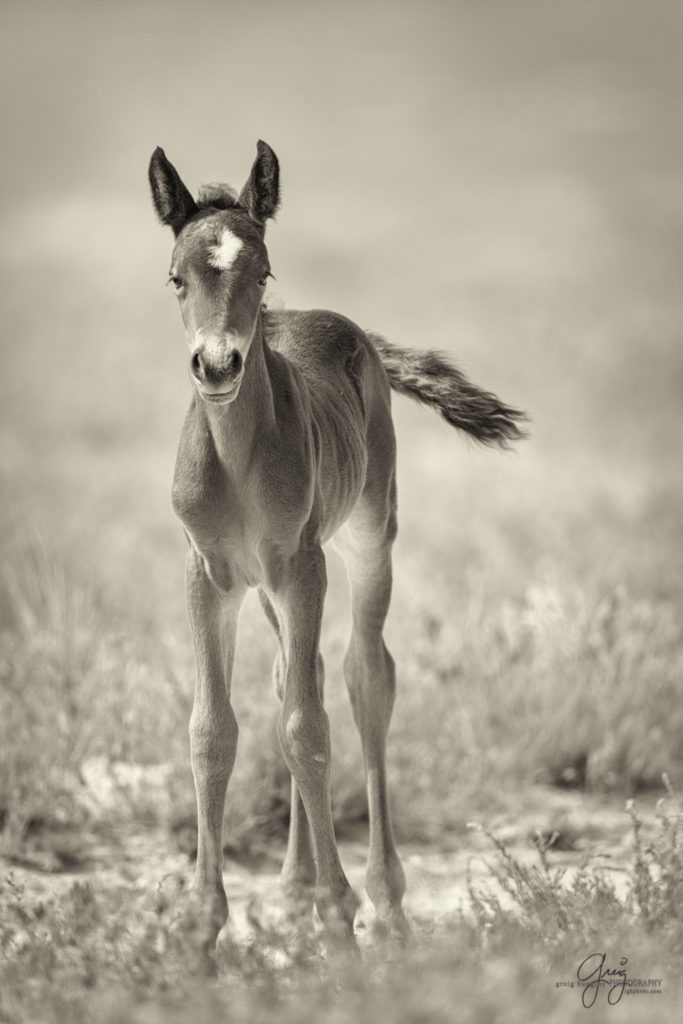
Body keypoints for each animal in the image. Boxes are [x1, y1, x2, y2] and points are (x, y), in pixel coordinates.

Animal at [148, 140, 524, 954]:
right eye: (176, 278)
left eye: (262, 272)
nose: (217, 366)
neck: (238, 461)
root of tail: (351, 333)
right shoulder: (208, 574)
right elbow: (213, 731)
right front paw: (203, 927)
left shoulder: (304, 565)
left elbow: (308, 729)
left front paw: (338, 915)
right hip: (266, 585)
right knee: (301, 673)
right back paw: (293, 895)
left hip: (366, 536)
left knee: (363, 677)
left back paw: (384, 902)